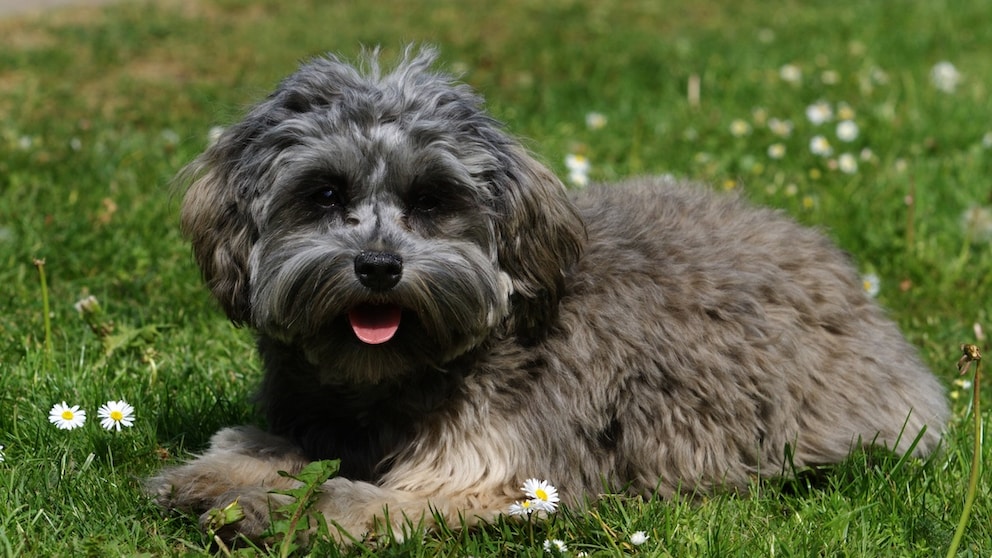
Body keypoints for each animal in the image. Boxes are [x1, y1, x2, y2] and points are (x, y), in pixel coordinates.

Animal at [151, 48, 948, 548]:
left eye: (431, 199)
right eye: (323, 194)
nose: (377, 266)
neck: (391, 381)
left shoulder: (491, 476)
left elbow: (351, 499)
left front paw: (272, 509)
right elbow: (258, 442)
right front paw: (210, 478)